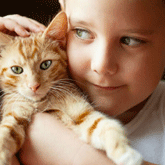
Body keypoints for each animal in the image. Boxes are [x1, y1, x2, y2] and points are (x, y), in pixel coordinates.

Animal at [0, 11, 142, 165]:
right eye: (17, 69)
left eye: (45, 64)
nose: (34, 86)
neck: (42, 101)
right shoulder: (14, 114)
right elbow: (5, 133)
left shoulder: (82, 112)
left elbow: (105, 126)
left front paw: (125, 153)